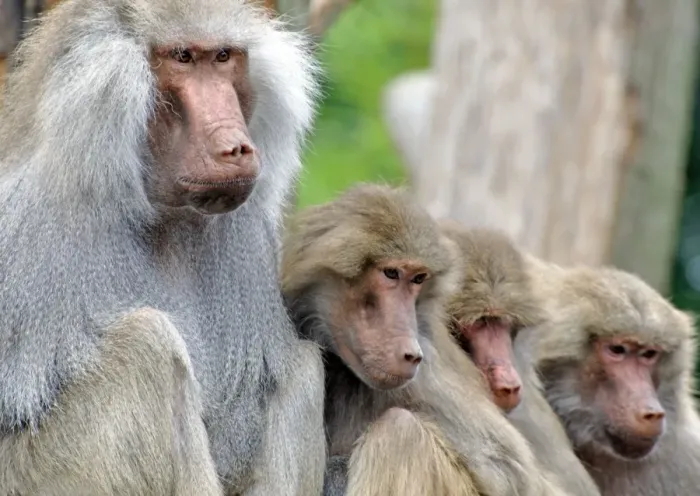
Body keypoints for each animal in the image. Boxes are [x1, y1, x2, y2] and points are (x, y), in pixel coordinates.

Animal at [0, 1, 325, 494]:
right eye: (183, 58)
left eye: (224, 57)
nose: (236, 148)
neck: (154, 208)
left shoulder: (244, 234)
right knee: (147, 348)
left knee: (304, 369)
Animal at [281, 183, 568, 496]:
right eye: (391, 273)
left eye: (419, 278)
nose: (411, 354)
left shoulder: (427, 372)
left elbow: (516, 475)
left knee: (399, 432)